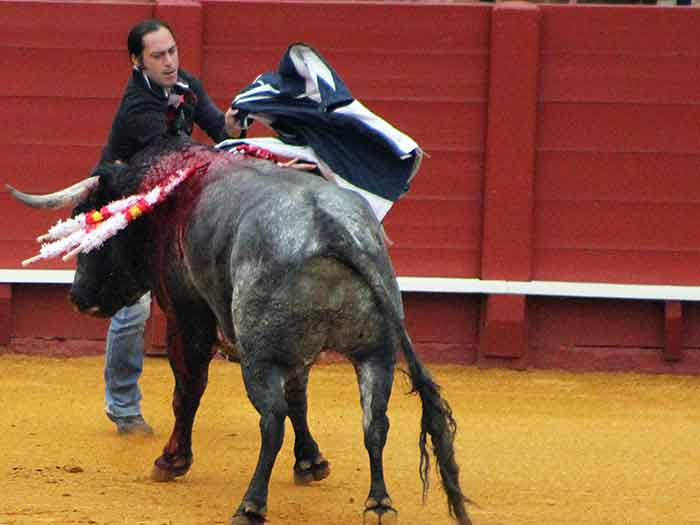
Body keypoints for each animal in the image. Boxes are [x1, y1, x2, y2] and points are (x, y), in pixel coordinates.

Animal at [9, 136, 470, 524]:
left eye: (89, 224)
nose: (77, 297)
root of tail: (330, 228)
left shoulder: (185, 315)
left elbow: (188, 389)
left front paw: (171, 461)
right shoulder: (297, 352)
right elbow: (300, 399)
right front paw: (311, 463)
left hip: (259, 356)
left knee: (272, 420)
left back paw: (251, 505)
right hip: (375, 351)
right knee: (374, 419)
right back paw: (379, 504)